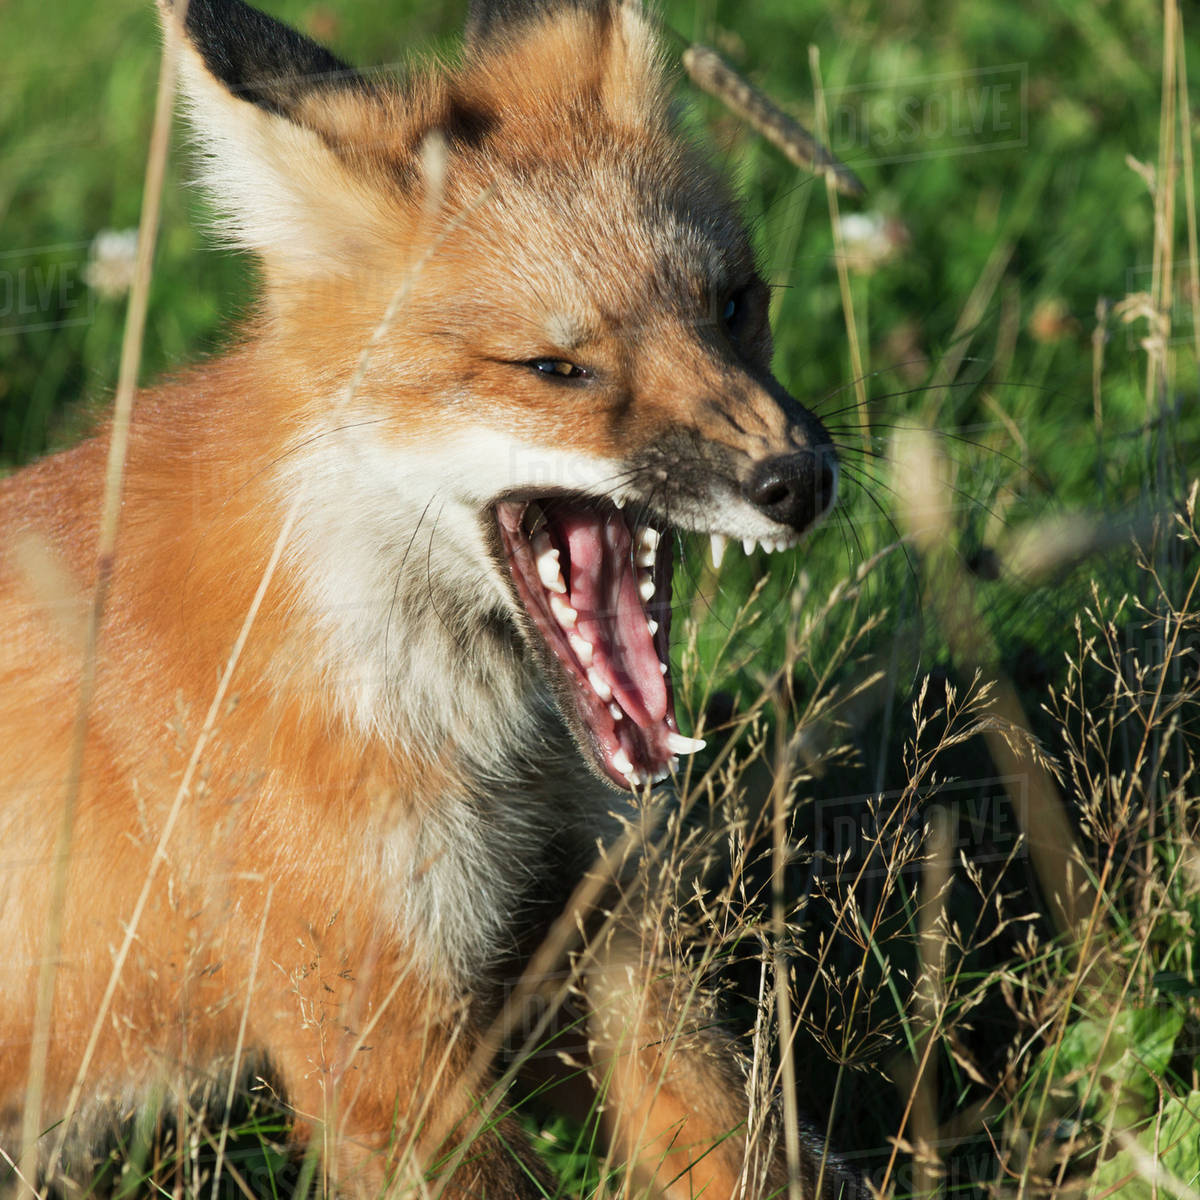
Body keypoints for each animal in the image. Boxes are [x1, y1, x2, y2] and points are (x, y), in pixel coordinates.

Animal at [0, 0, 849, 1195]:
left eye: (734, 308)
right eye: (554, 369)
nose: (798, 481)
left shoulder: (606, 933)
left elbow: (741, 1145)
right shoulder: (377, 1041)